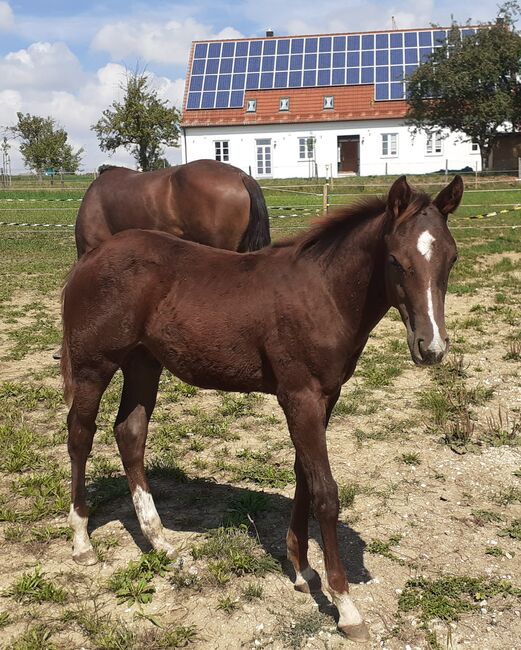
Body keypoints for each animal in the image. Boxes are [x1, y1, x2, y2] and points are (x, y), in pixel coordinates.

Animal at [62, 175, 464, 640]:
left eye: (452, 258)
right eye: (396, 260)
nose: (431, 347)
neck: (323, 293)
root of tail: (90, 257)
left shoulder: (325, 396)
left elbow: (303, 475)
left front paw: (302, 570)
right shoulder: (300, 396)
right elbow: (325, 491)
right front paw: (345, 604)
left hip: (144, 363)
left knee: (130, 433)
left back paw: (160, 541)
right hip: (94, 366)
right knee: (80, 434)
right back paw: (82, 540)